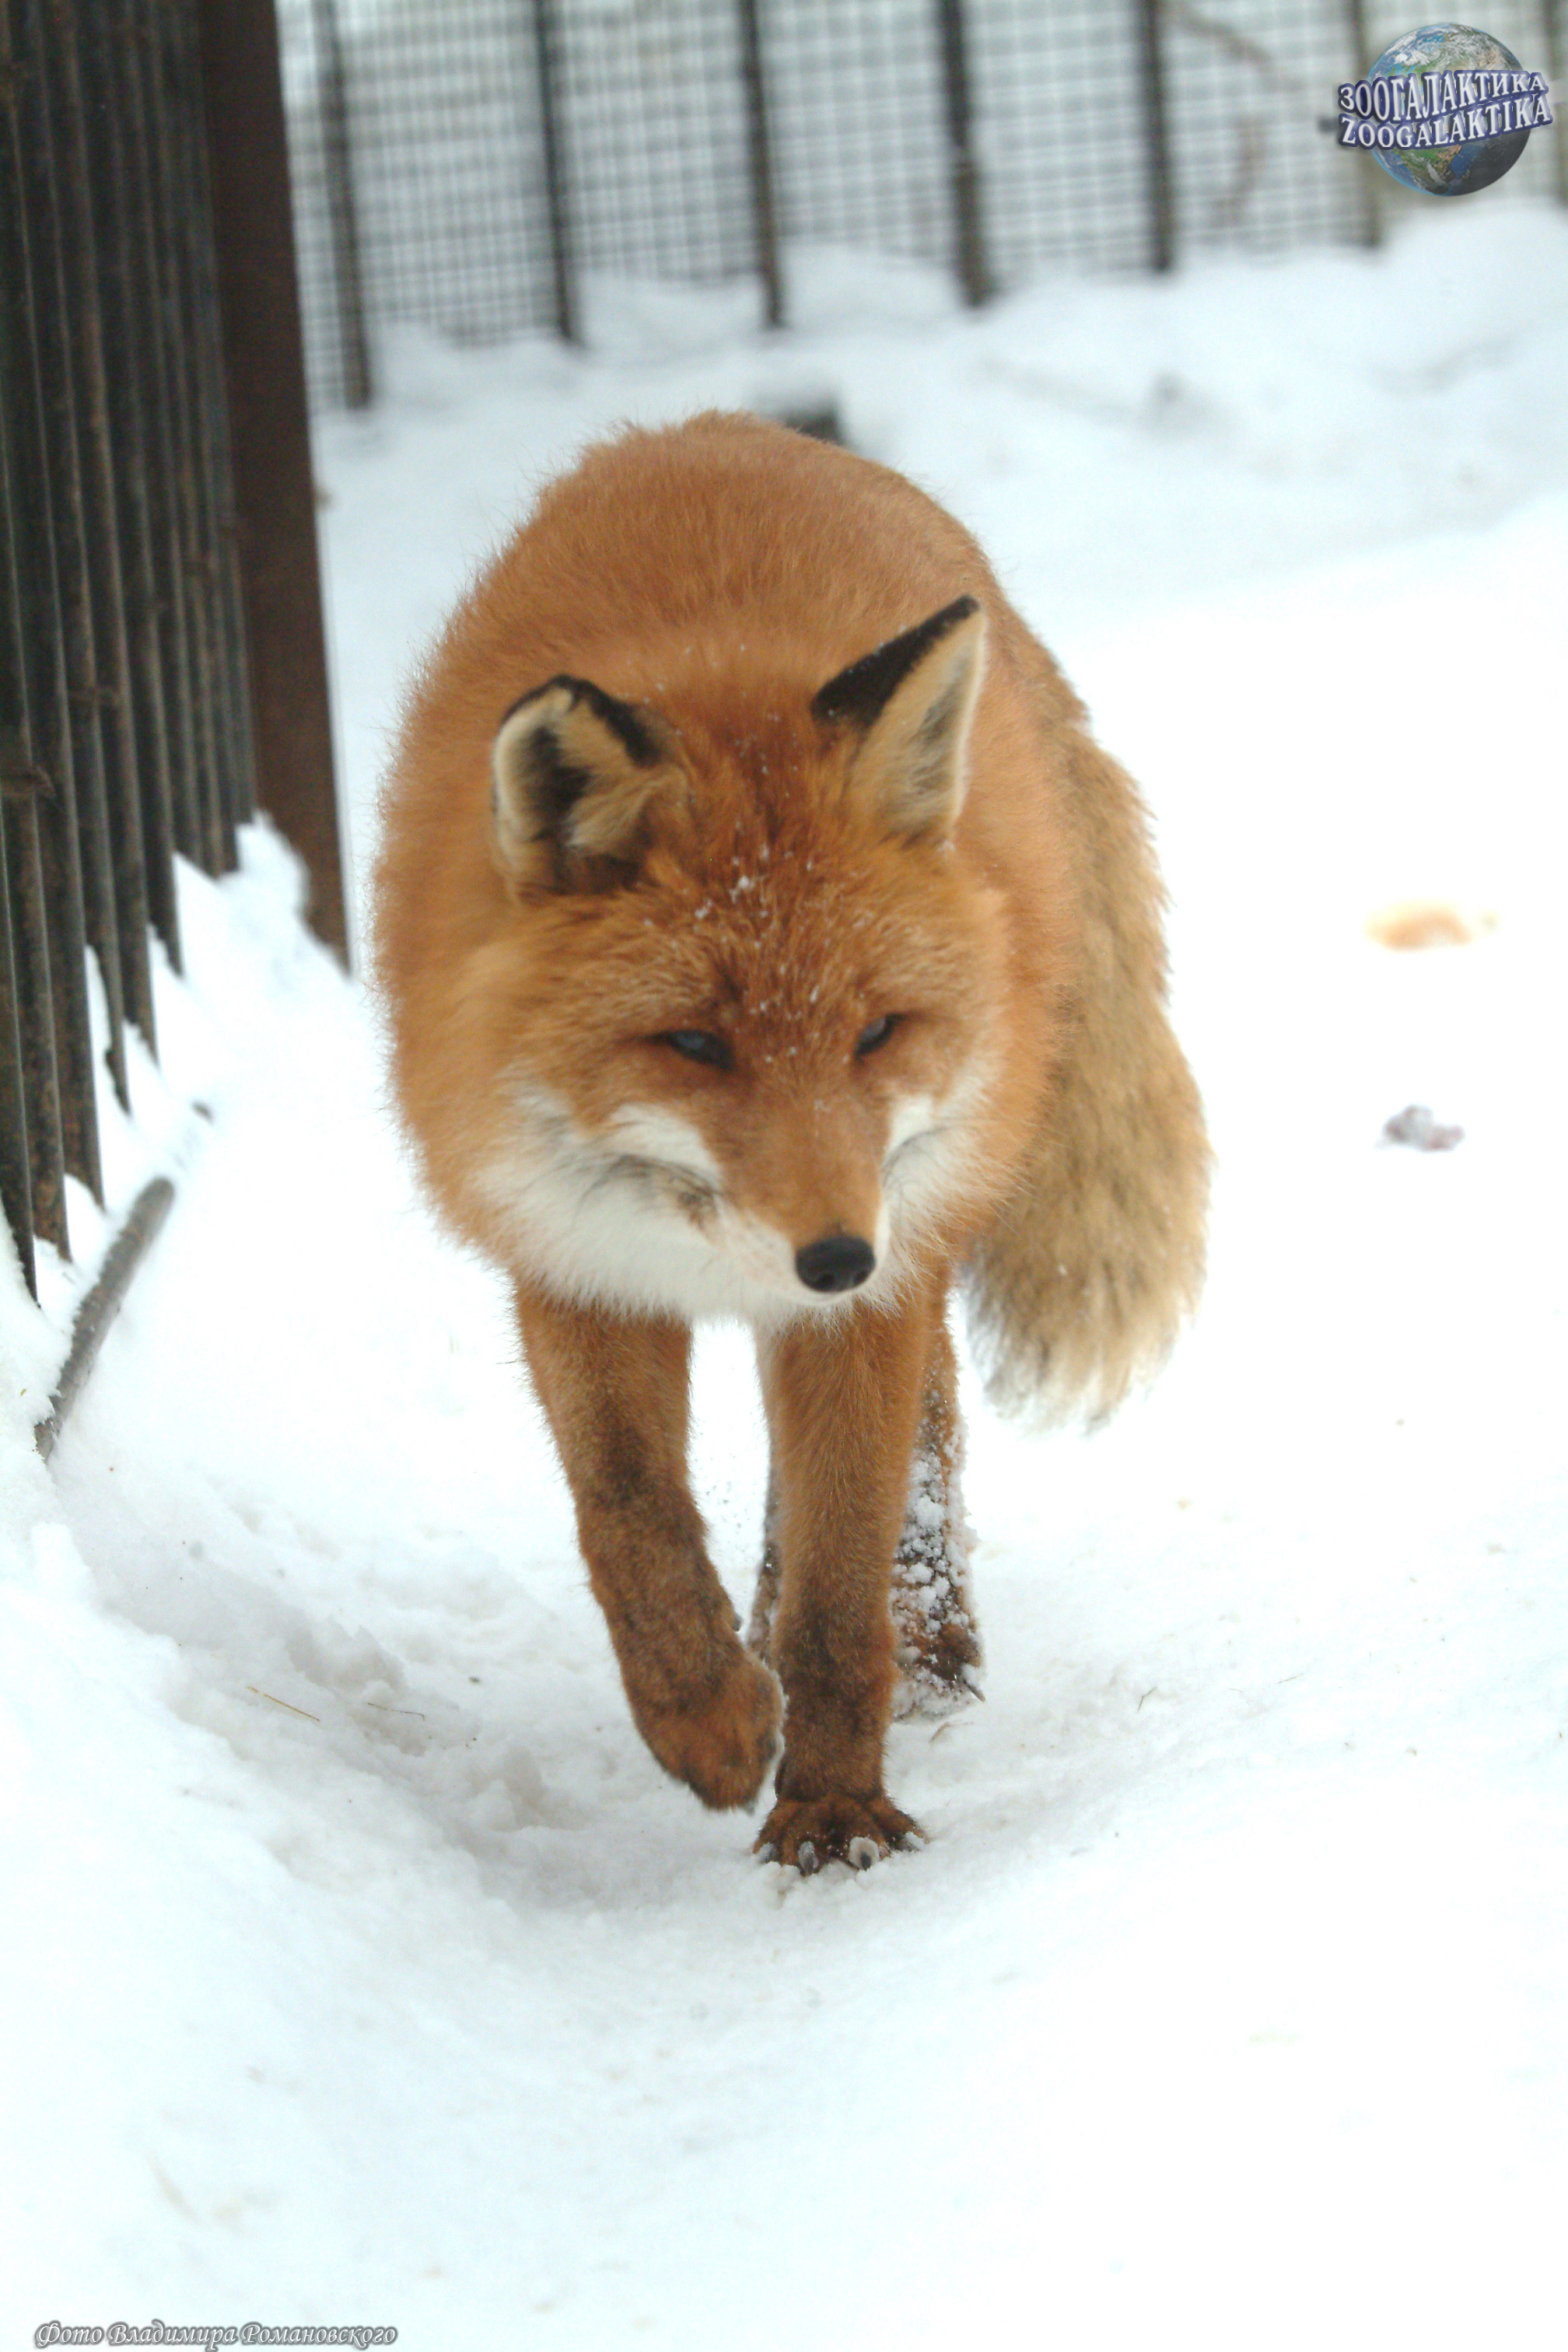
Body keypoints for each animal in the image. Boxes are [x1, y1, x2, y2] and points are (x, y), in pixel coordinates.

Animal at [373, 409, 1213, 1872]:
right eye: (695, 1044)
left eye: (876, 1031)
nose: (832, 1256)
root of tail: (730, 426)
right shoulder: (572, 1263)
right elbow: (632, 1522)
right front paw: (705, 1719)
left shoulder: (873, 1281)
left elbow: (838, 1587)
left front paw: (834, 1810)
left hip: (923, 1225)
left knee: (920, 1448)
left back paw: (928, 1644)